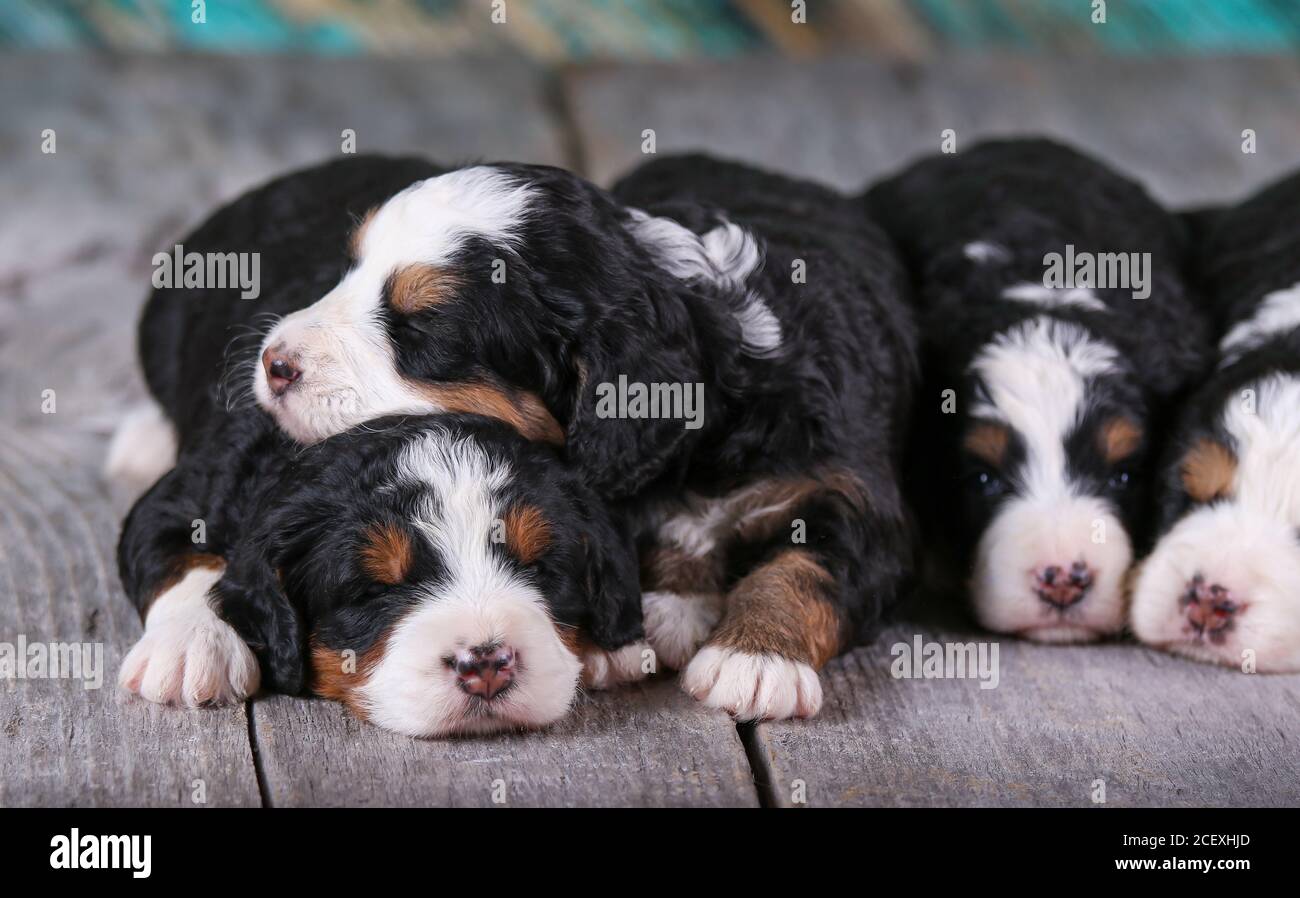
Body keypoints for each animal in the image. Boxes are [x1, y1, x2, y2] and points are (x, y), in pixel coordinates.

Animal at [116, 413, 644, 738]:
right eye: (374, 591)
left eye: (540, 568)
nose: (487, 666)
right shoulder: (183, 496)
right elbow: (184, 560)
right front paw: (190, 645)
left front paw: (610, 645)